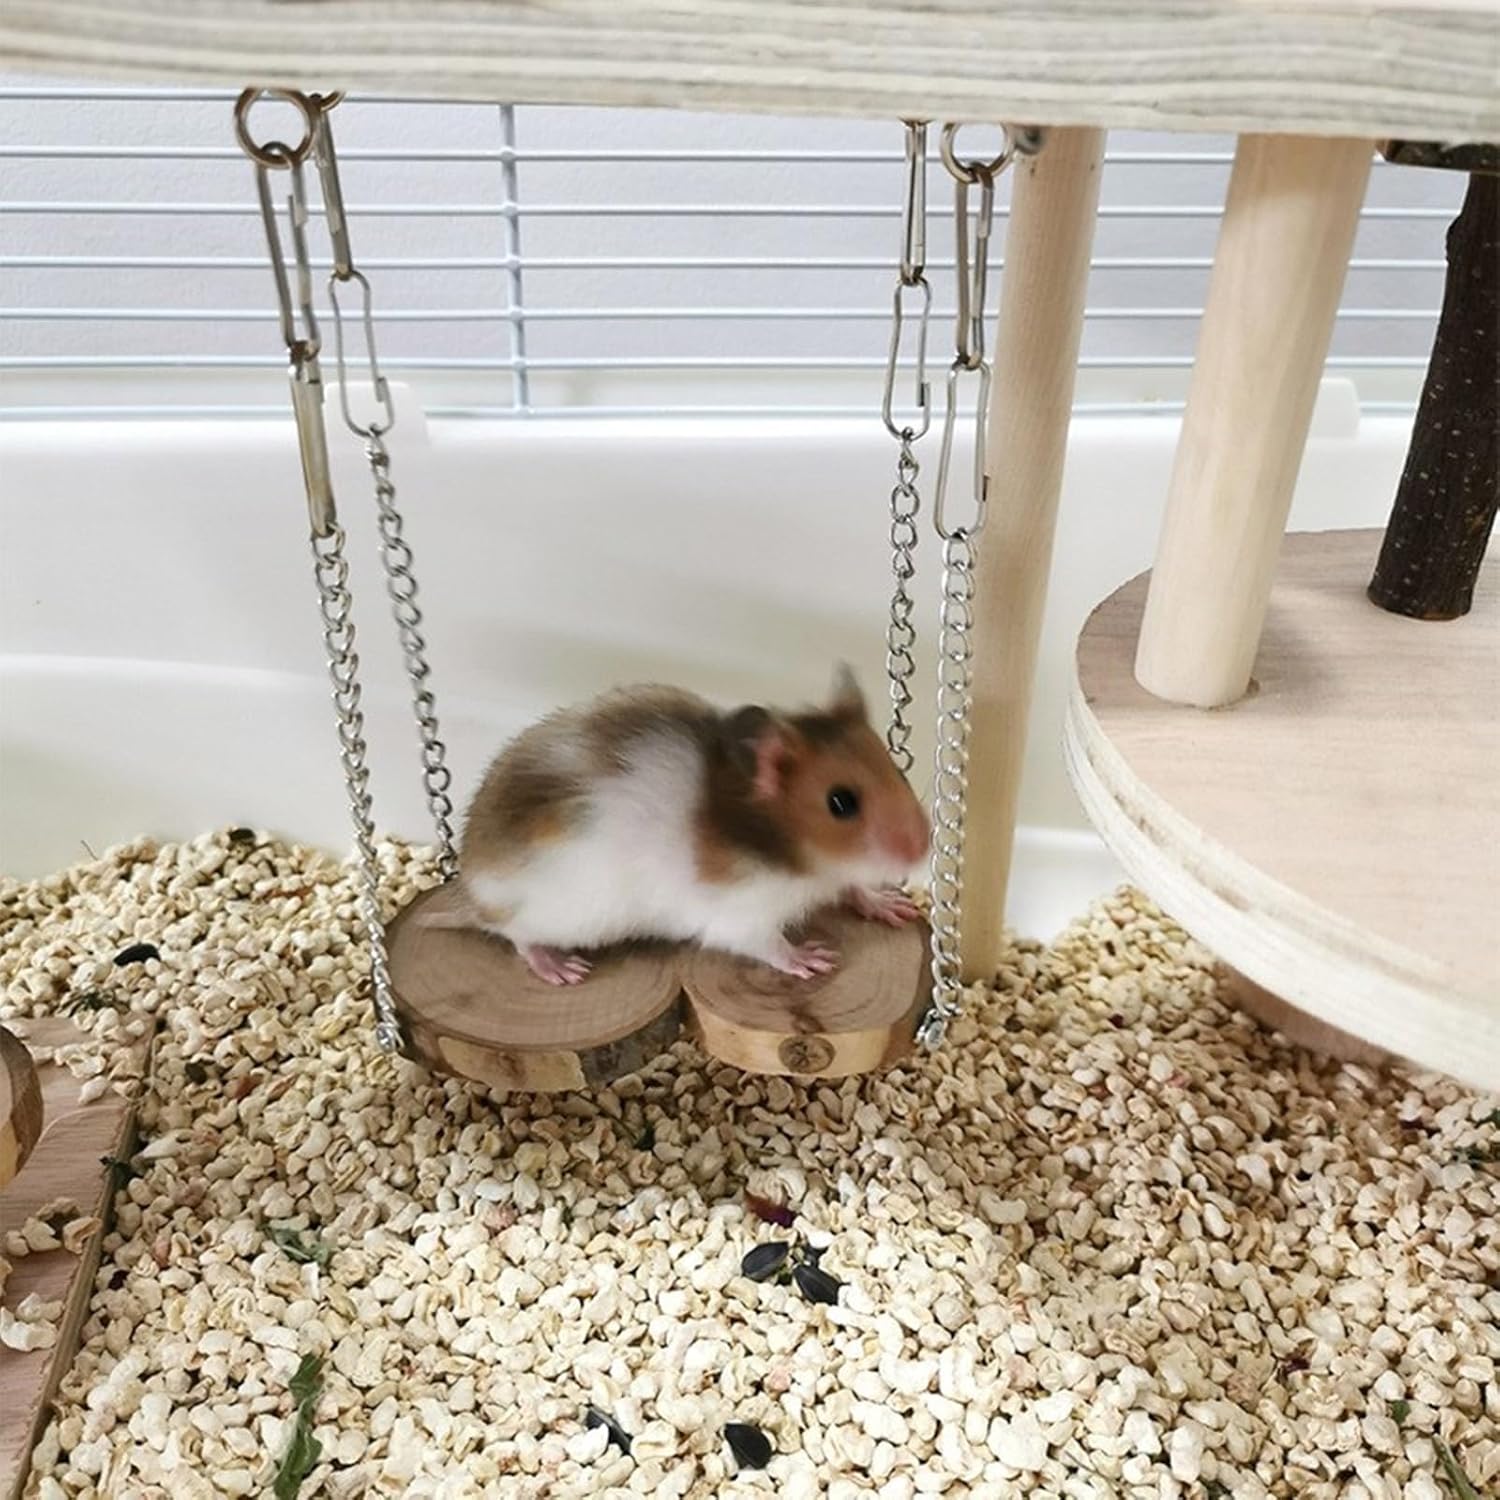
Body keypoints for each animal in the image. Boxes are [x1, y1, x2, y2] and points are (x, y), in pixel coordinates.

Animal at [456, 665, 929, 985]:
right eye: (841, 803)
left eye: (897, 770)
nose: (923, 848)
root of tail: (472, 890)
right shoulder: (739, 914)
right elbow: (769, 945)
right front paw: (814, 960)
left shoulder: (833, 876)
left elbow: (854, 887)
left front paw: (895, 908)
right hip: (554, 915)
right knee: (514, 934)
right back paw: (561, 968)